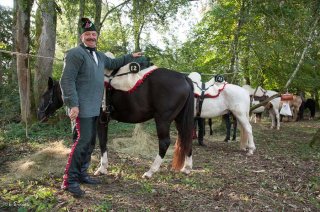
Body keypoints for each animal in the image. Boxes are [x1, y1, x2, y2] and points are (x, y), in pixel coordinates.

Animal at [36, 67, 194, 178]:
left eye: (45, 96)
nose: (39, 114)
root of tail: (183, 77)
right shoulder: (103, 122)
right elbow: (101, 142)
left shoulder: (99, 122)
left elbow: (101, 143)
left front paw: (101, 168)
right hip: (179, 120)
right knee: (186, 138)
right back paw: (187, 168)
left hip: (162, 120)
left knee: (164, 142)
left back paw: (150, 171)